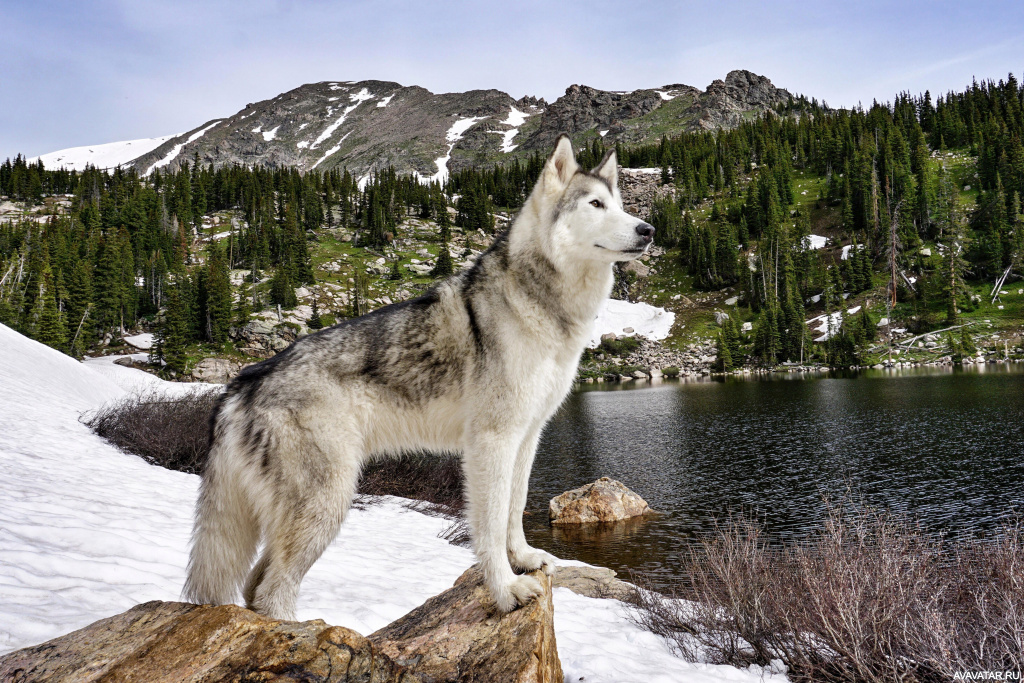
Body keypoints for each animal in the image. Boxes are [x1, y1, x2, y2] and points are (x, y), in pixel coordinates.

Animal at [184, 135, 655, 618]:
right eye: (596, 204)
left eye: (620, 204)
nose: (648, 230)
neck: (545, 306)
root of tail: (243, 381)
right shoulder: (492, 440)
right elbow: (488, 524)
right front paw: (506, 589)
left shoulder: (527, 436)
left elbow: (515, 506)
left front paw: (523, 559)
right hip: (327, 502)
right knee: (271, 590)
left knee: (255, 585)